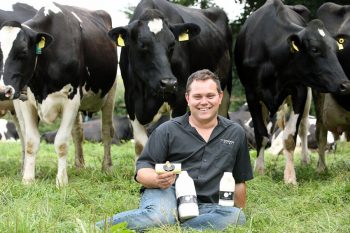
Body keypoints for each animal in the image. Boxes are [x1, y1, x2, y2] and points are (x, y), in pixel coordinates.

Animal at [0, 2, 118, 186]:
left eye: (23, 52)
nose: (3, 91)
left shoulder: (71, 99)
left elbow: (61, 143)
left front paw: (61, 181)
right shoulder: (26, 102)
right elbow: (30, 142)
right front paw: (28, 179)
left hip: (110, 93)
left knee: (106, 131)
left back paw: (107, 167)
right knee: (78, 132)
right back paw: (79, 166)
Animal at [107, 0, 232, 156]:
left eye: (172, 44)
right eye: (142, 44)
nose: (168, 83)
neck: (147, 92)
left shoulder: (179, 98)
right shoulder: (131, 101)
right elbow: (141, 147)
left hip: (224, 90)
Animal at [234, 0, 350, 184]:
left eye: (335, 48)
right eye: (315, 49)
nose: (344, 84)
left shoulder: (299, 91)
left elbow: (289, 137)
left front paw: (290, 178)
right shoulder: (251, 93)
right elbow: (261, 133)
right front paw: (259, 170)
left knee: (303, 127)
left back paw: (305, 160)